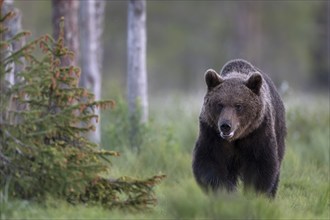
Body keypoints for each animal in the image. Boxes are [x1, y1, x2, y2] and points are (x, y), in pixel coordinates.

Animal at [192, 58, 284, 198]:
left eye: (238, 105)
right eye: (220, 104)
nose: (225, 125)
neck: (236, 138)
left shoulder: (258, 132)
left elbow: (260, 165)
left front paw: (253, 193)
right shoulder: (211, 133)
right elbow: (209, 161)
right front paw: (226, 191)